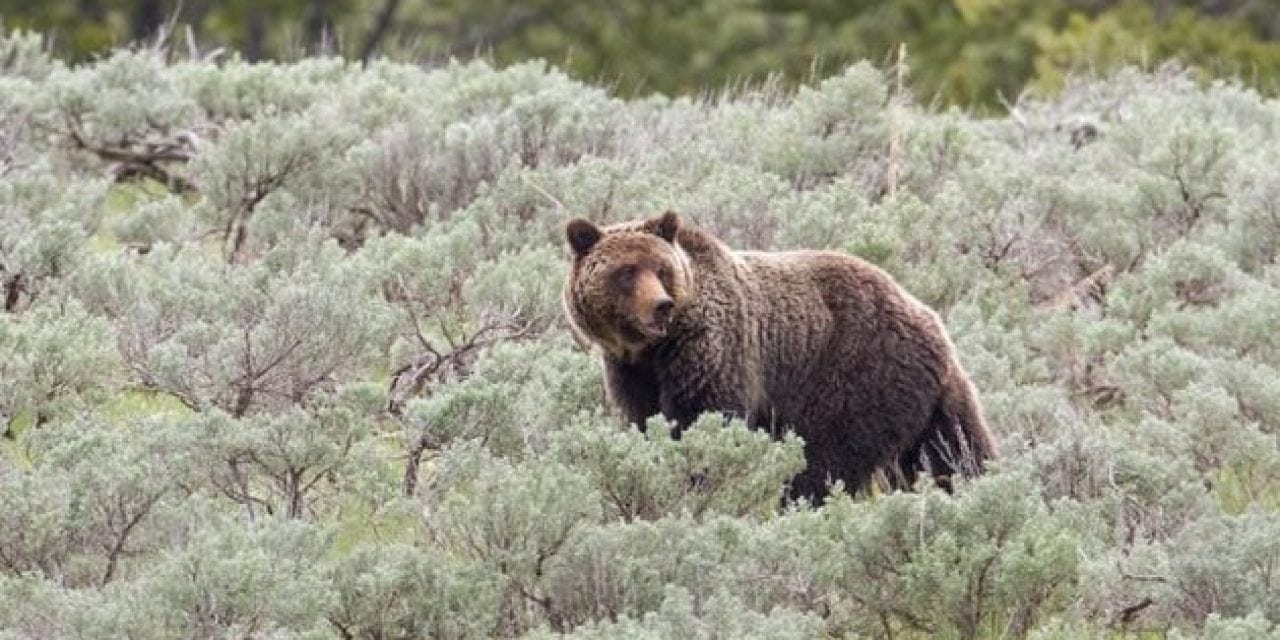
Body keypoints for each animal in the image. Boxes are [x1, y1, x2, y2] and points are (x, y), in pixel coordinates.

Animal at [563, 212, 998, 501]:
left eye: (661, 268)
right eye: (626, 271)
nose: (661, 306)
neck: (652, 350)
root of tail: (929, 318)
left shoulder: (713, 352)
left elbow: (702, 420)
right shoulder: (631, 372)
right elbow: (645, 422)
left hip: (857, 374)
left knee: (825, 459)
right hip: (924, 398)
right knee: (952, 450)